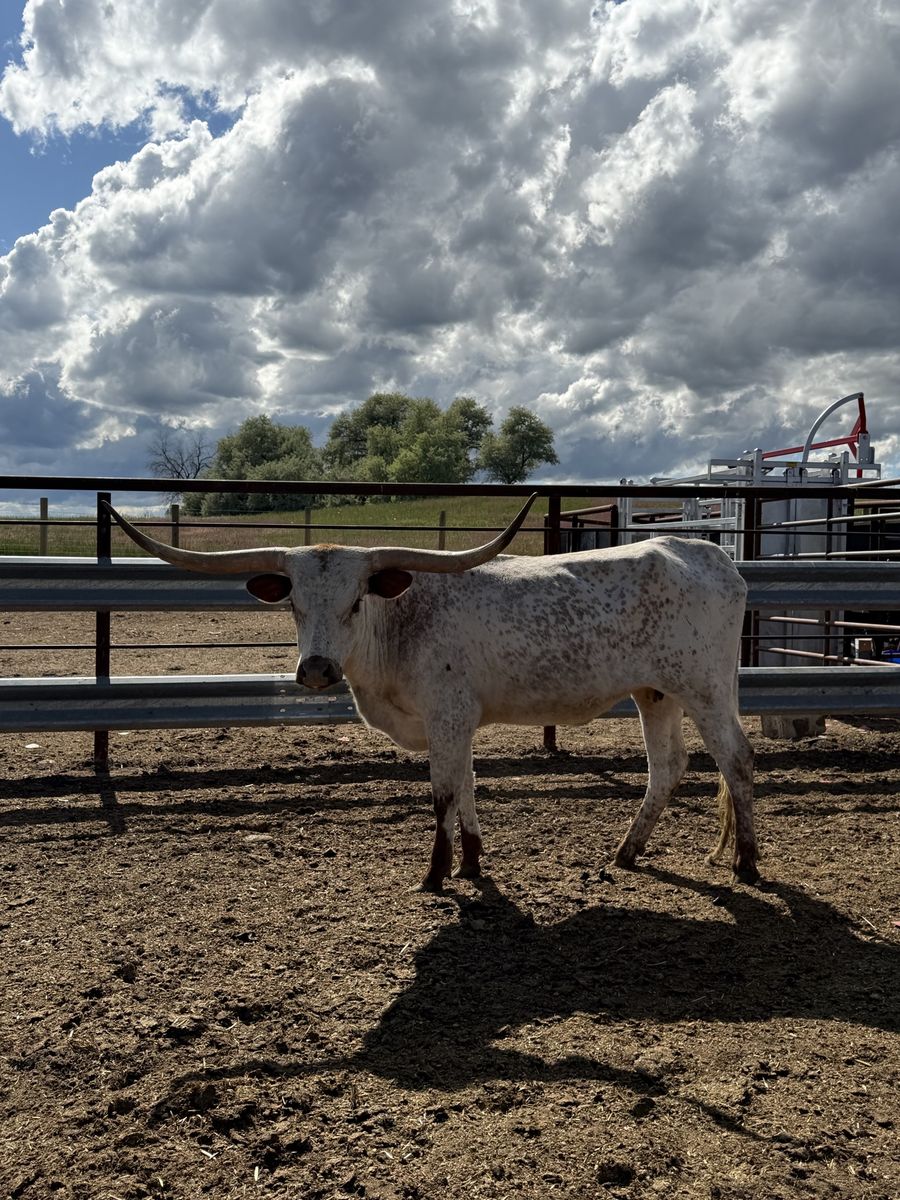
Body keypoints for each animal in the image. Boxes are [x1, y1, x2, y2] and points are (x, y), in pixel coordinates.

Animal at [106, 497, 759, 891]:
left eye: (356, 601)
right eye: (293, 603)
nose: (316, 669)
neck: (400, 624)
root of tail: (711, 553)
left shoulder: (446, 717)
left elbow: (443, 792)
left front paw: (437, 873)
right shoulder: (458, 722)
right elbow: (466, 786)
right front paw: (470, 862)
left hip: (704, 688)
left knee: (736, 759)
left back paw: (746, 864)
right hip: (656, 692)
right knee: (668, 765)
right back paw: (627, 852)